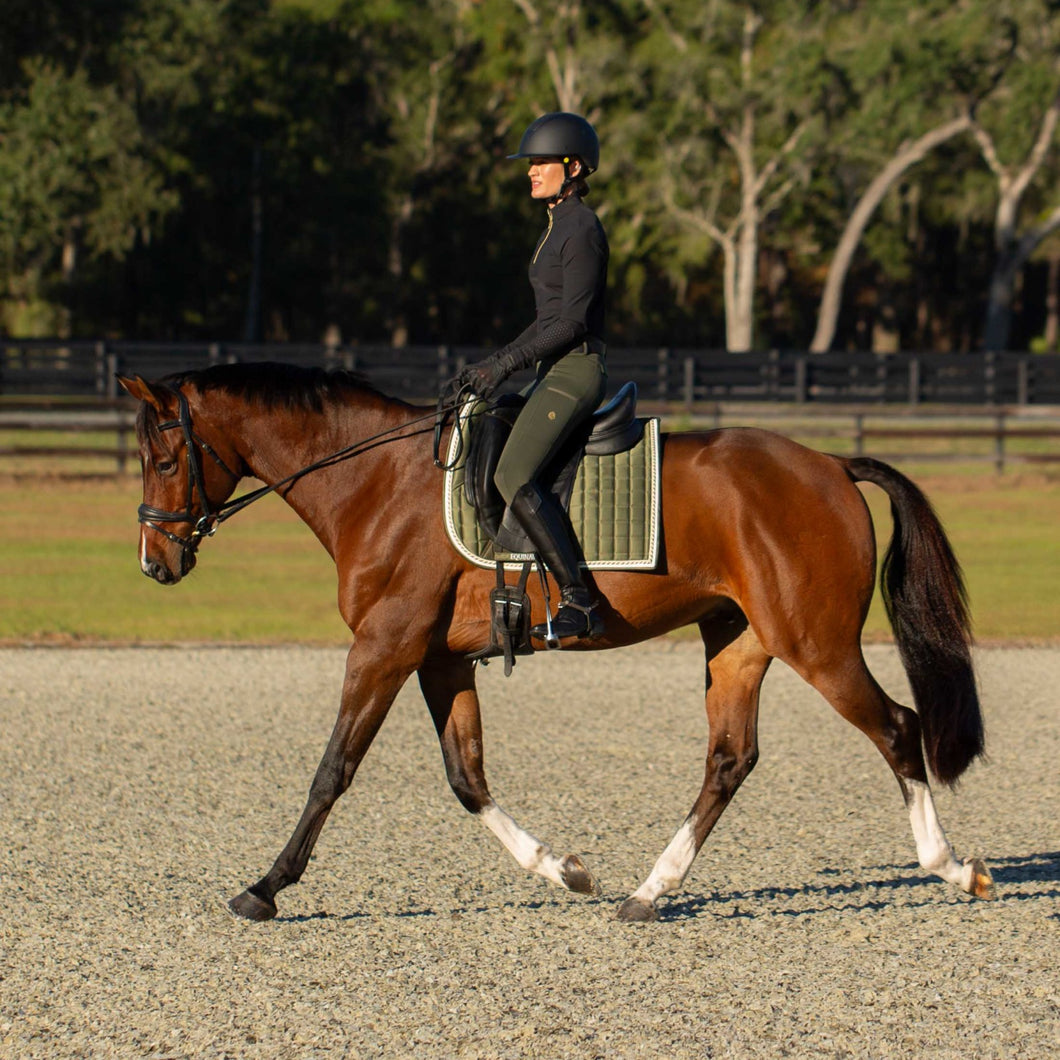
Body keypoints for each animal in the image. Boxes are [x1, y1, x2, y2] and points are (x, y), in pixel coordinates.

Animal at [120, 362, 996, 920]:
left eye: (163, 456)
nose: (155, 563)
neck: (377, 483)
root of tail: (830, 464)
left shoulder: (384, 647)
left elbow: (332, 771)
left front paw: (265, 888)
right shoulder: (438, 659)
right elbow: (466, 778)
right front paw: (564, 870)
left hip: (816, 643)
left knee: (898, 729)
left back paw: (953, 869)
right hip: (738, 640)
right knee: (730, 759)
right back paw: (648, 893)